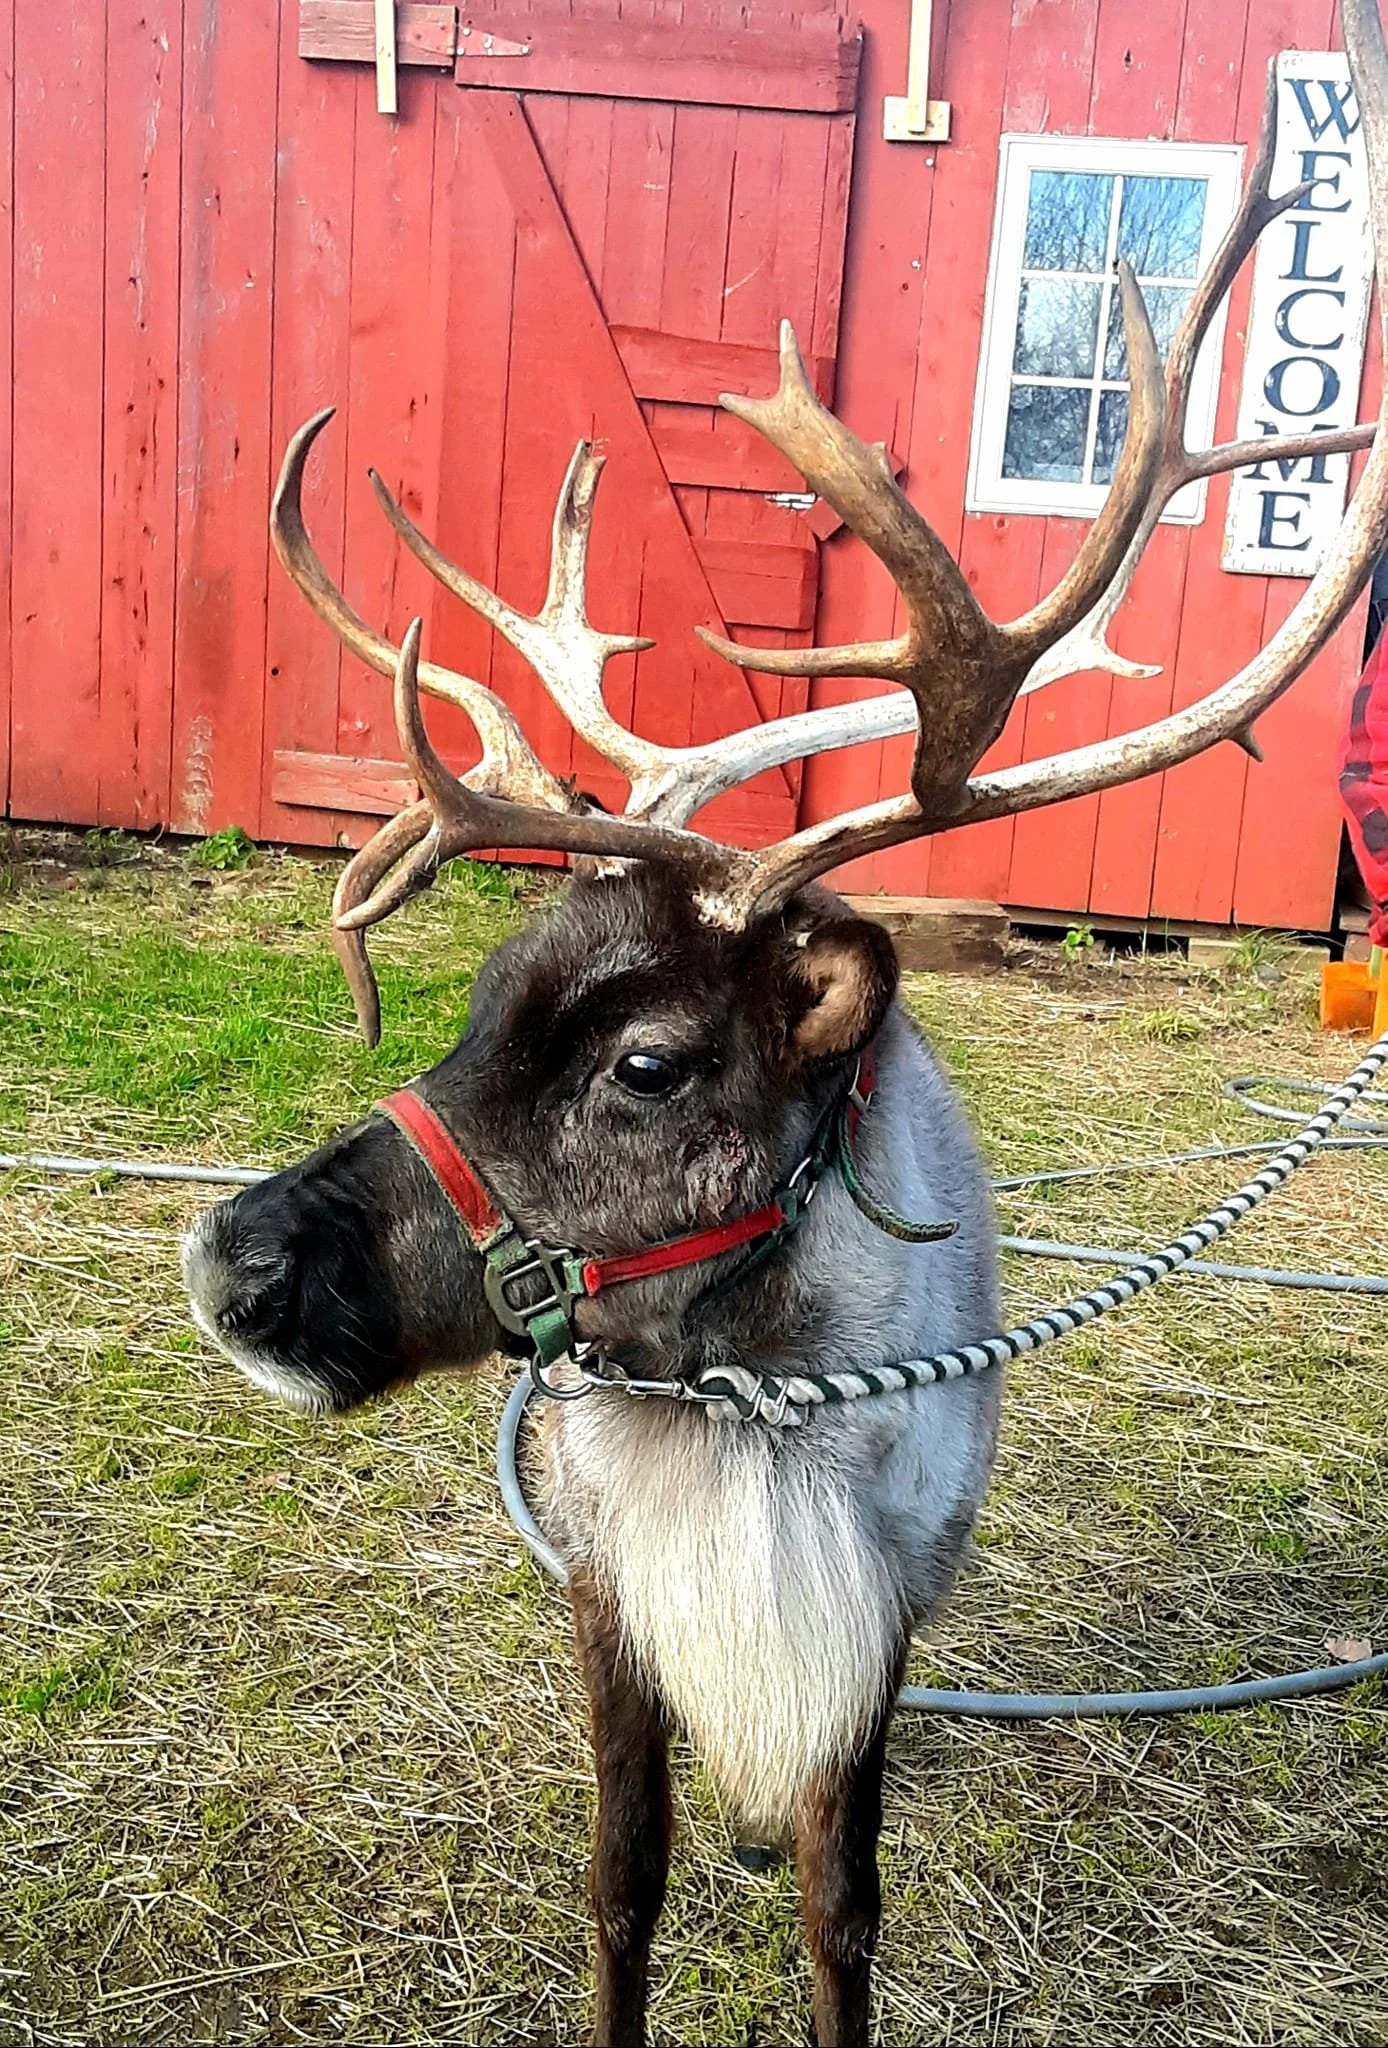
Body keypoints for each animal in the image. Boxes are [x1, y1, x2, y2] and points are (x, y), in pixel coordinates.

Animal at [183, 4, 1388, 2040]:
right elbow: (618, 1878)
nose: (229, 1250)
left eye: (646, 1063)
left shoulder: (882, 1599)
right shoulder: (603, 1577)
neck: (745, 1401)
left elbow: (844, 1904)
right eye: (474, 1000)